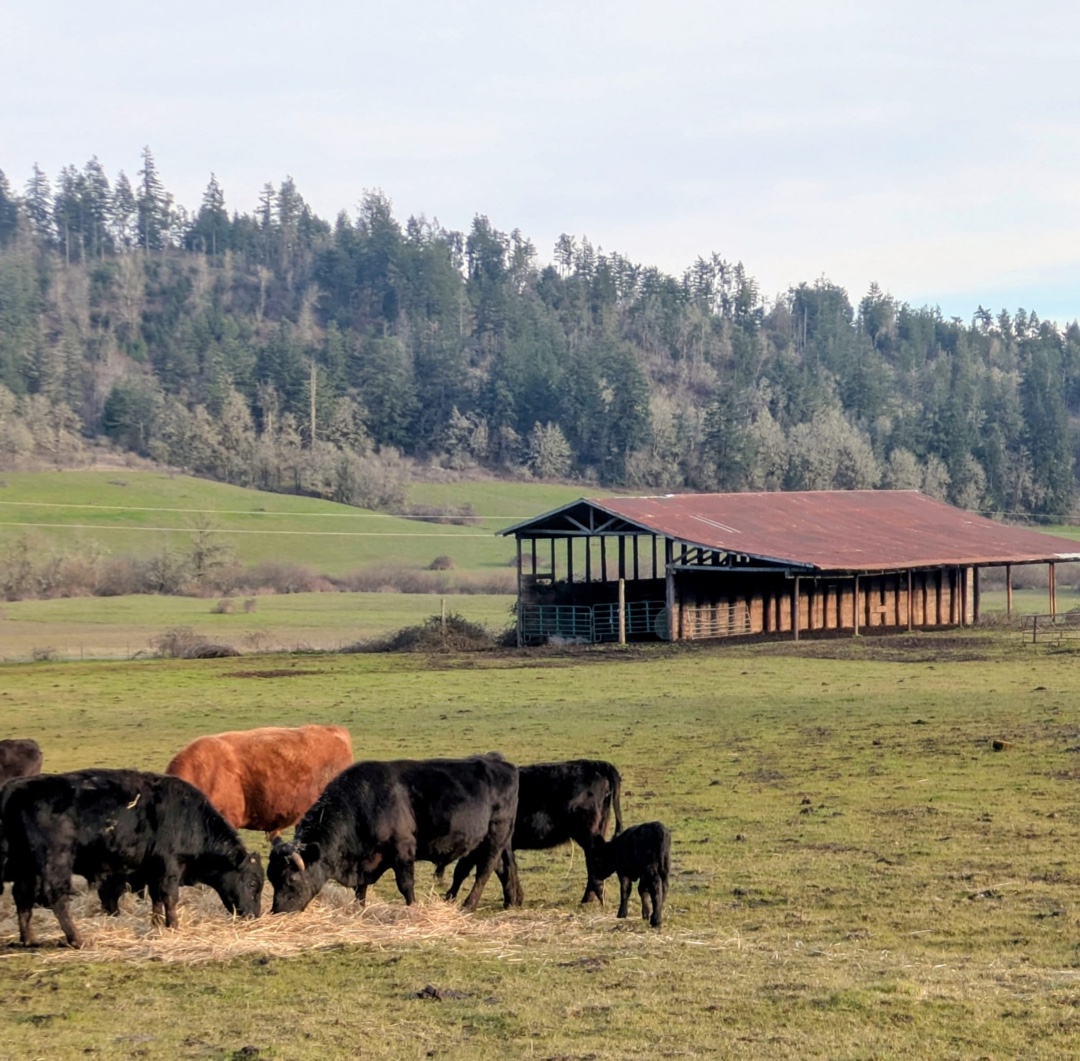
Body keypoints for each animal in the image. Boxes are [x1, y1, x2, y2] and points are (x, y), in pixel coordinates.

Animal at [0, 768, 264, 948]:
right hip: (56, 861)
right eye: (252, 883)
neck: (191, 818)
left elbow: (156, 898)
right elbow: (170, 897)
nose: (254, 915)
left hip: (25, 867)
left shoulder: (153, 871)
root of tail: (16, 787)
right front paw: (173, 926)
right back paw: (77, 939)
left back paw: (29, 939)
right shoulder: (170, 867)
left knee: (22, 897)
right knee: (56, 897)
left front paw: (157, 924)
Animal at [268, 754, 520, 915]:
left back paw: (468, 905)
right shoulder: (366, 861)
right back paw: (507, 900)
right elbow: (361, 888)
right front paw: (359, 909)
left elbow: (405, 884)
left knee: (484, 871)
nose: (278, 911)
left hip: (496, 836)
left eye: (291, 879)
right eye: (272, 878)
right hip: (486, 842)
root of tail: (503, 765)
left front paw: (412, 908)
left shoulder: (402, 848)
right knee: (500, 868)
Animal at [445, 759, 623, 906]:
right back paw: (590, 897)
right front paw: (515, 899)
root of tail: (595, 764)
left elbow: (472, 869)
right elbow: (501, 869)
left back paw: (590, 897)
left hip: (586, 832)